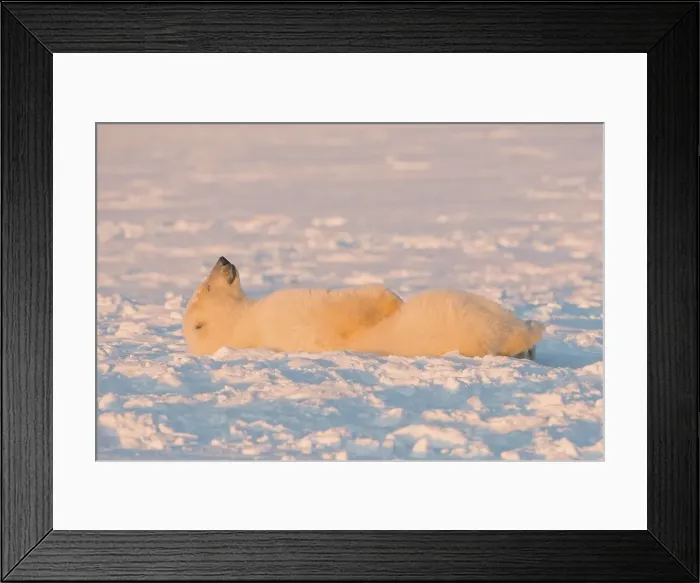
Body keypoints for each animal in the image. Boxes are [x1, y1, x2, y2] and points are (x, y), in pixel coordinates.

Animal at [183, 256, 544, 359]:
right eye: (208, 286)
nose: (223, 260)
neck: (243, 326)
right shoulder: (283, 313)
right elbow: (346, 305)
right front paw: (392, 299)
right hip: (455, 315)